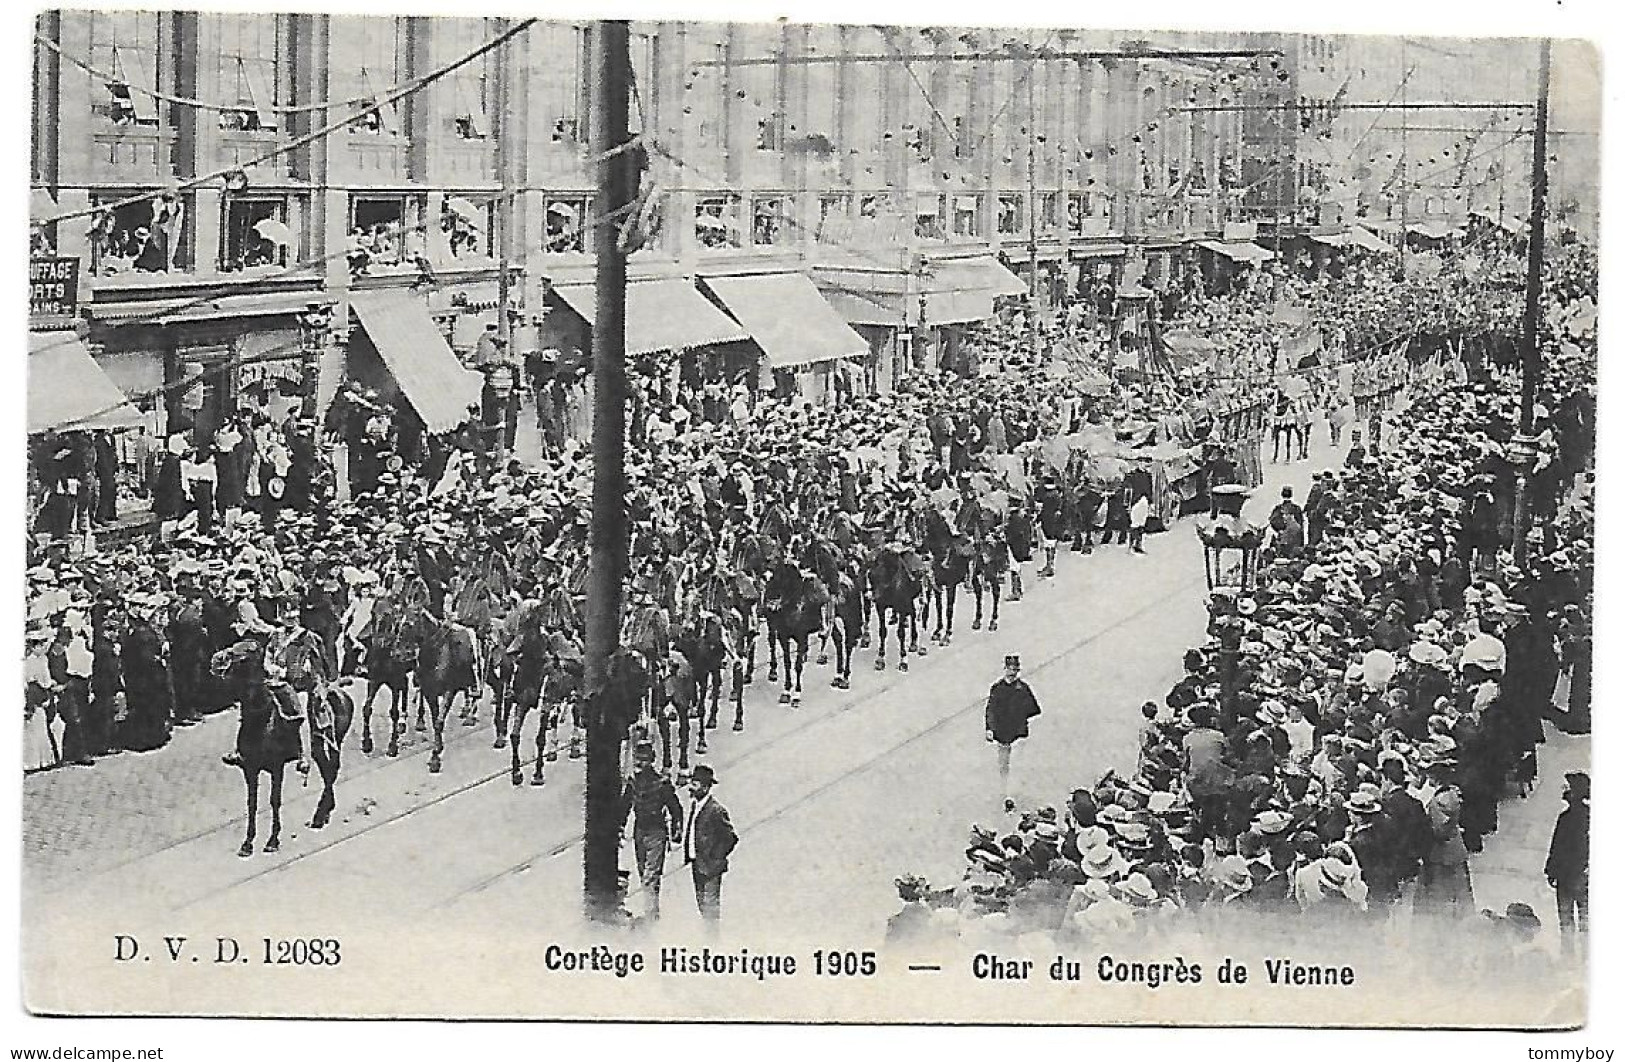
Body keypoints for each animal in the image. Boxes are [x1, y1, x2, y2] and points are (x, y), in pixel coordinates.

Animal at [211, 636, 305, 863]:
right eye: (234, 646)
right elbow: (251, 804)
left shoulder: (277, 767)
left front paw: (272, 840)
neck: (259, 725)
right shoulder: (250, 769)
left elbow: (274, 800)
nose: (217, 660)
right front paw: (247, 843)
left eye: (249, 652)